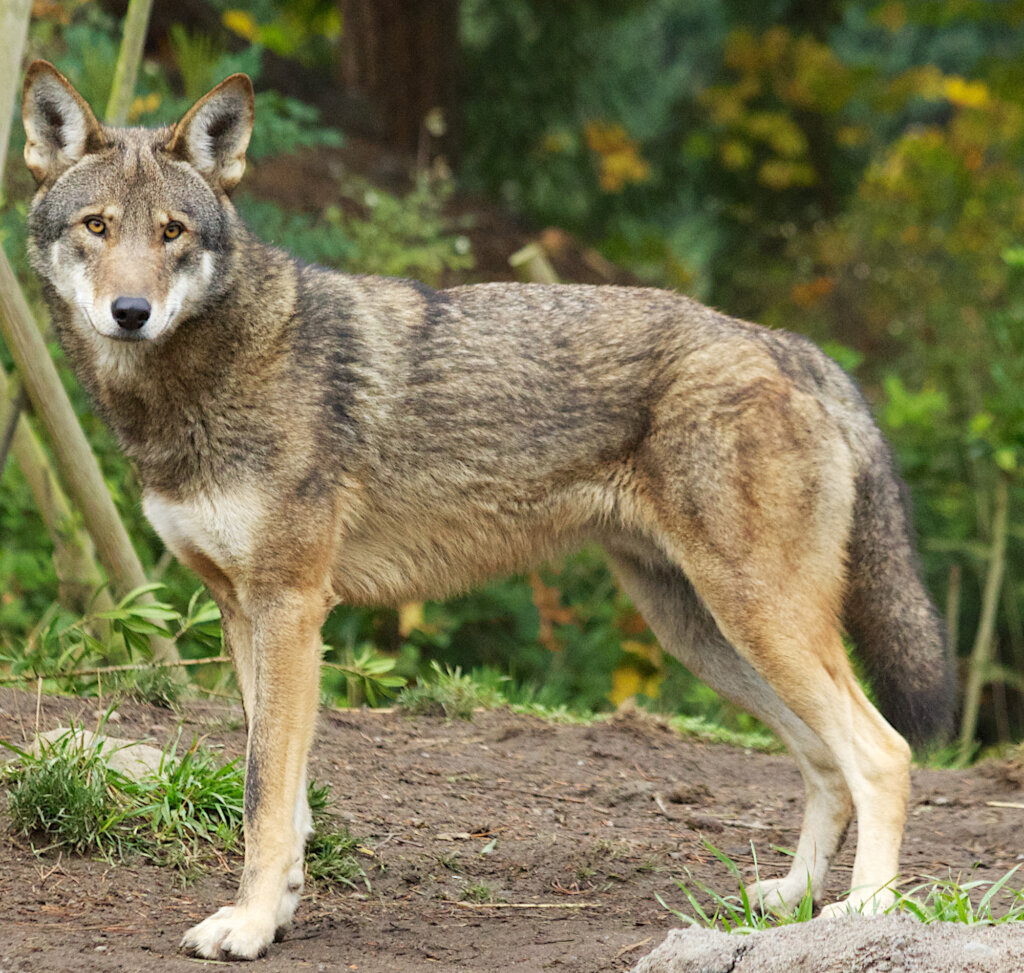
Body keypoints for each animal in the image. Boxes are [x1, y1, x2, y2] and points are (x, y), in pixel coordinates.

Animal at [21, 61, 952, 959]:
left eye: (172, 232)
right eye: (97, 227)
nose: (130, 313)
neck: (207, 375)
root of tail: (787, 345)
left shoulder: (290, 609)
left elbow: (262, 793)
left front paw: (246, 927)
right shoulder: (243, 611)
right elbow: (285, 798)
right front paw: (275, 911)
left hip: (755, 620)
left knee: (883, 752)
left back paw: (867, 911)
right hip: (706, 633)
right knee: (824, 761)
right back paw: (792, 902)